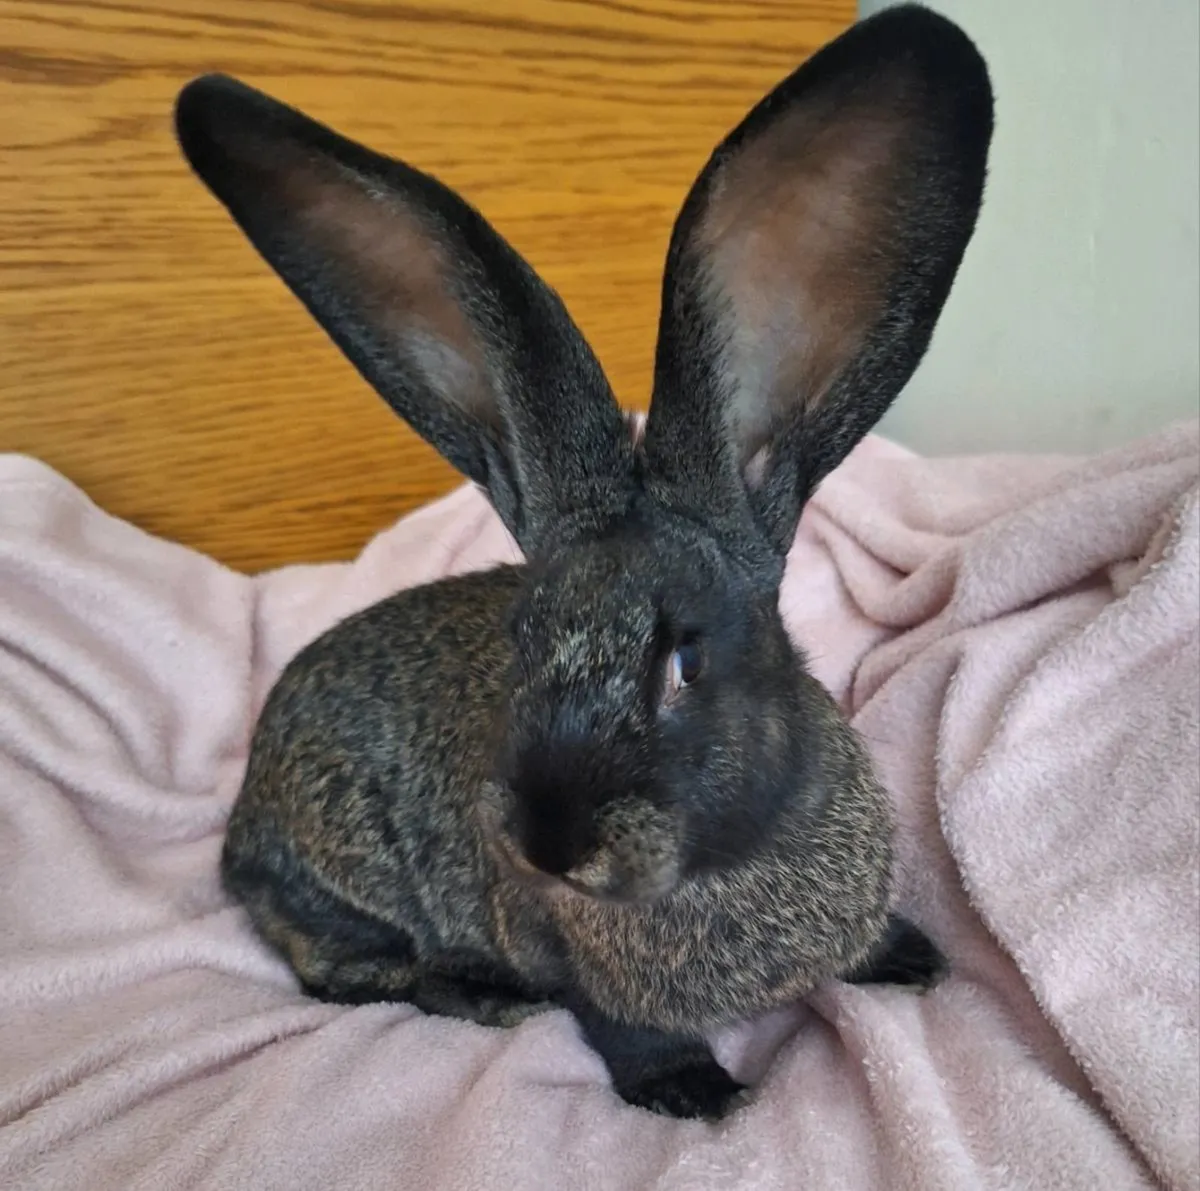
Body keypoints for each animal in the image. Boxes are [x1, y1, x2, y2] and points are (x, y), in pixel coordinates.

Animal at [175, 3, 993, 1121]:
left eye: (687, 659)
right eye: (521, 644)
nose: (550, 844)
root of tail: (241, 824)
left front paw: (911, 957)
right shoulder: (581, 970)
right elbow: (626, 1030)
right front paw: (700, 1092)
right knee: (343, 970)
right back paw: (480, 996)